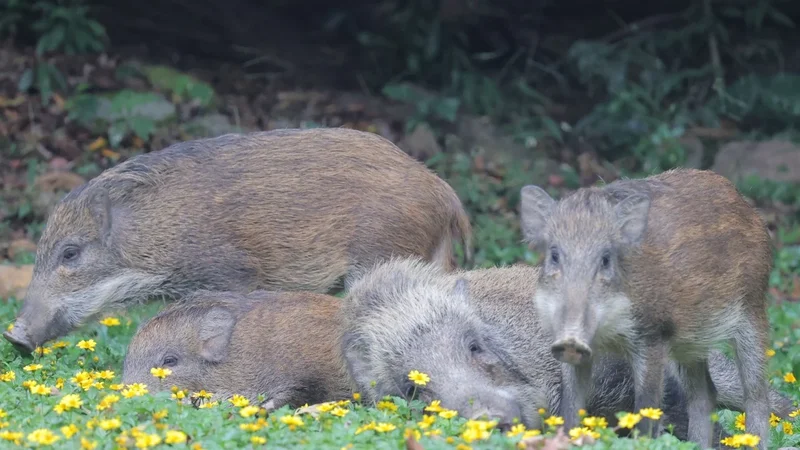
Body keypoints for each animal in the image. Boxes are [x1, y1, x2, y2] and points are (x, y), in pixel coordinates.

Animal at [518, 168, 773, 448]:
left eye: (606, 258)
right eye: (554, 255)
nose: (571, 340)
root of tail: (746, 204)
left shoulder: (652, 337)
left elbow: (646, 411)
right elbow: (571, 410)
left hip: (753, 310)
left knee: (756, 394)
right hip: (690, 342)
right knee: (704, 394)